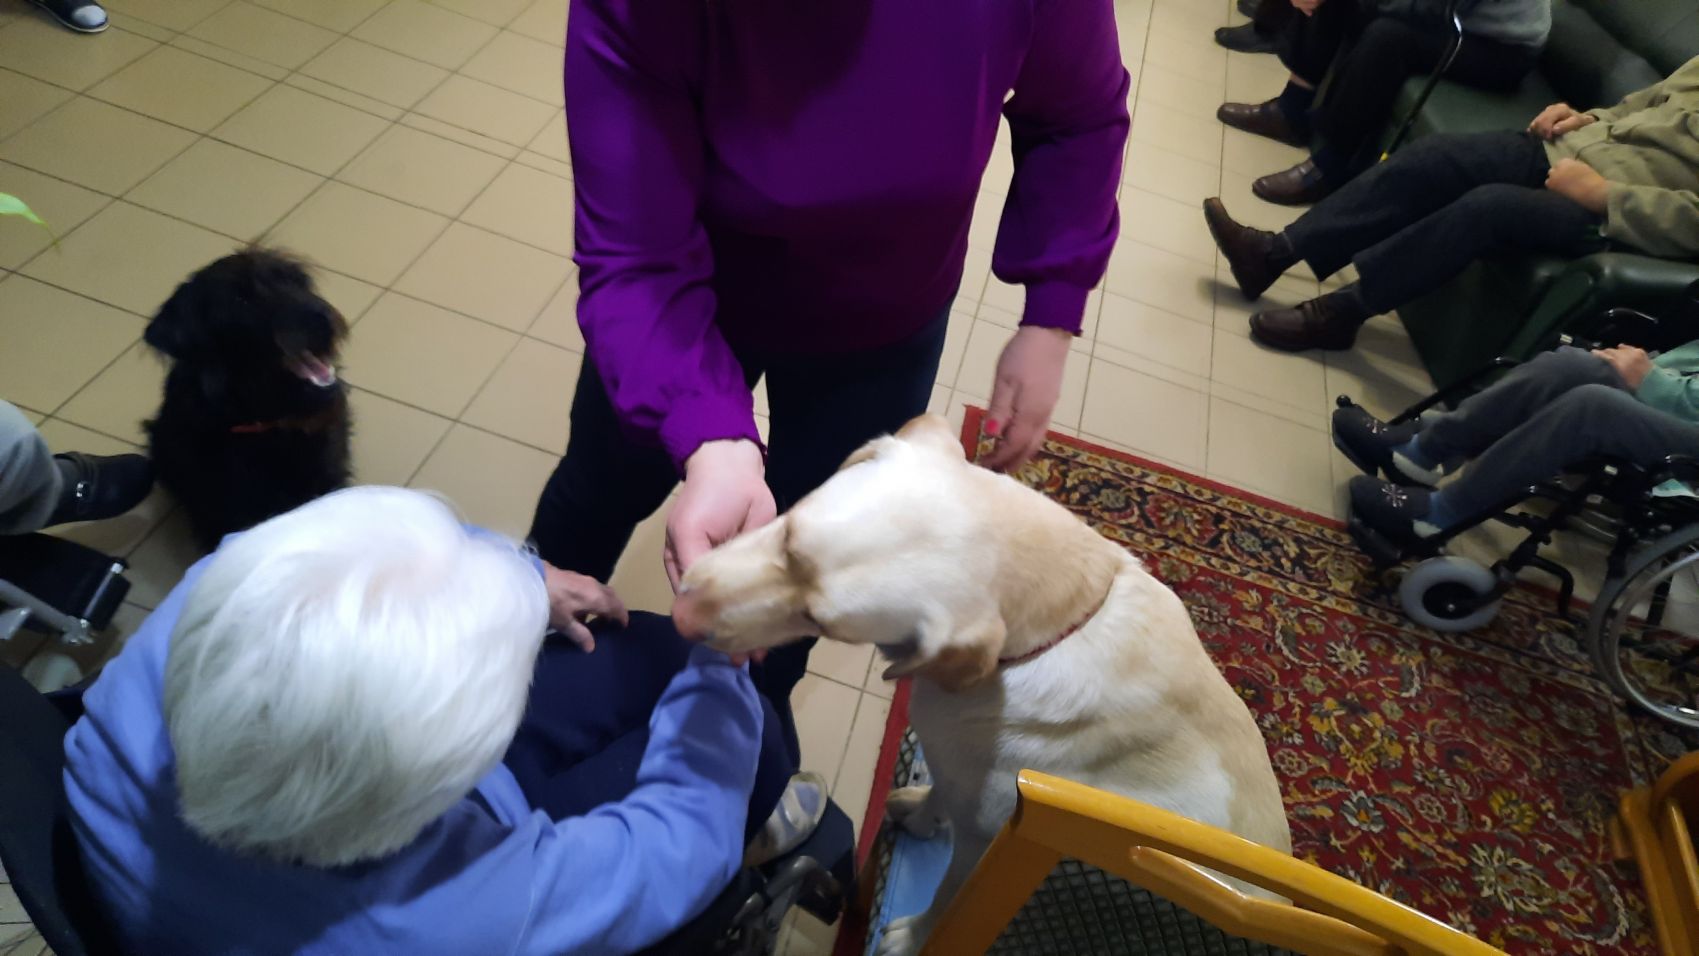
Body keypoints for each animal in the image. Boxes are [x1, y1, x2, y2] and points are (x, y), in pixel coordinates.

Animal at [673, 414, 1292, 955]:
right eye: (788, 530)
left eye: (820, 621)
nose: (682, 616)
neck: (1060, 625)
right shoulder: (957, 773)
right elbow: (943, 791)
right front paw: (922, 811)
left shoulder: (987, 841)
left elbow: (951, 895)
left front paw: (914, 936)